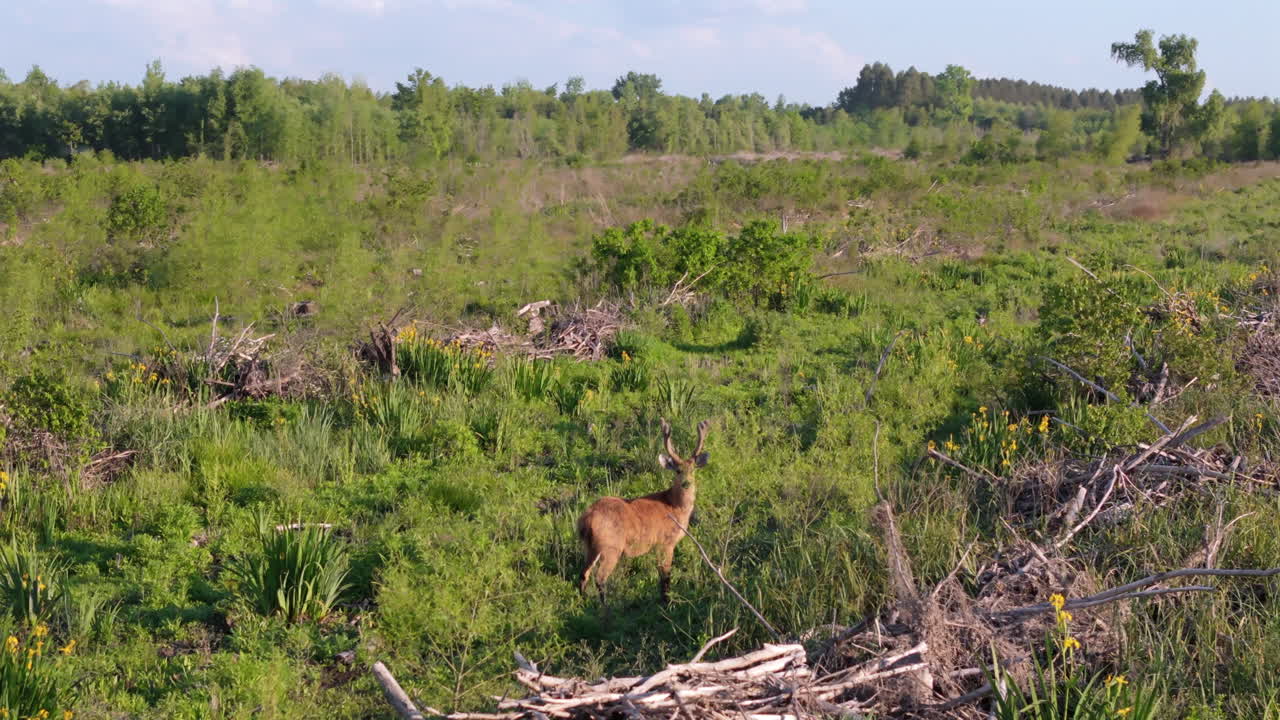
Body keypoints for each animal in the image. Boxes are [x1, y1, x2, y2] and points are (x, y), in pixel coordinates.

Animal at [577, 418, 709, 611]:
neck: (673, 505)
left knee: (583, 574)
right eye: (677, 470)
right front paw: (667, 603)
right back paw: (606, 609)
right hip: (610, 546)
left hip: (590, 546)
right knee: (600, 577)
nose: (686, 483)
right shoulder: (665, 542)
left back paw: (583, 603)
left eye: (692, 470)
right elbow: (666, 576)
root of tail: (587, 518)